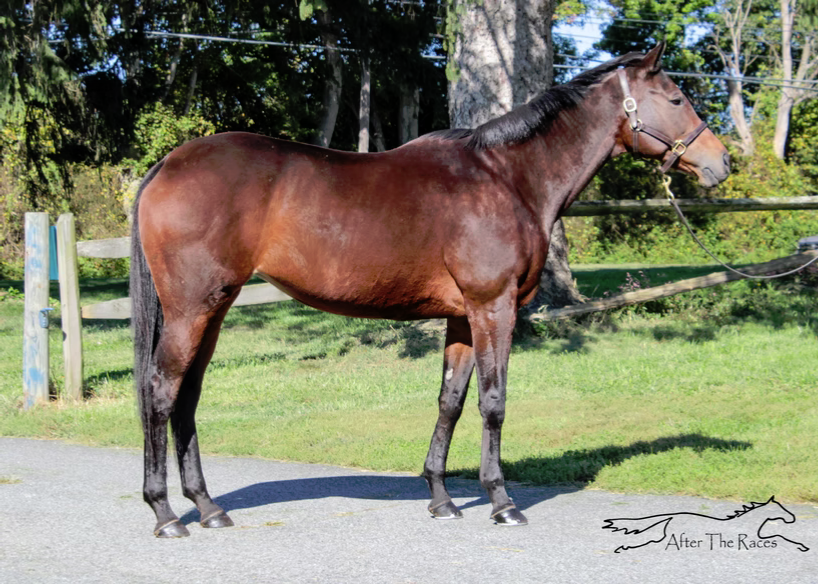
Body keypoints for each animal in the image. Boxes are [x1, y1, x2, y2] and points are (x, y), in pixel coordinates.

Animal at [131, 43, 731, 537]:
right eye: (676, 97)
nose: (721, 163)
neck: (507, 178)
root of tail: (166, 166)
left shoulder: (463, 316)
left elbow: (451, 400)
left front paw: (441, 497)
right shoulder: (494, 308)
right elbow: (493, 401)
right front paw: (501, 501)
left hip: (213, 309)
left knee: (186, 397)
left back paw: (208, 508)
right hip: (191, 310)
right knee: (160, 391)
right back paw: (165, 514)